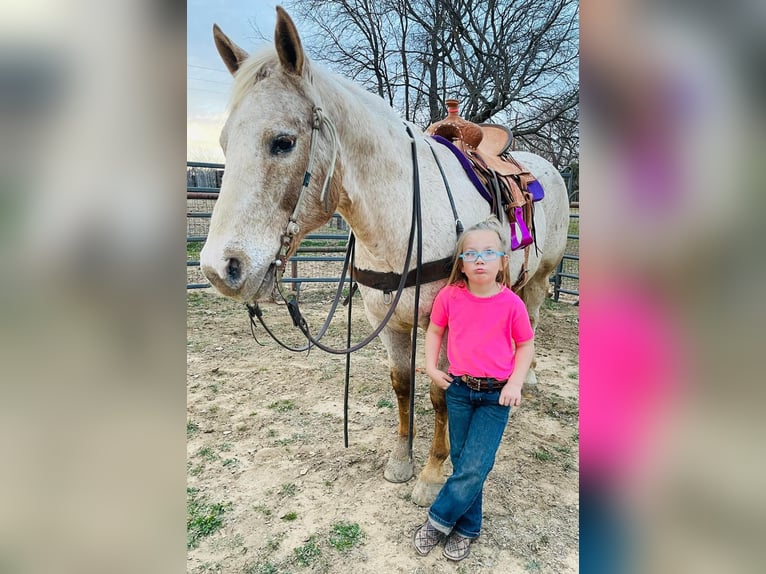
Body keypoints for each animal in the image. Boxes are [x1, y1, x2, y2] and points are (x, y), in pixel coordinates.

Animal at [200, 5, 568, 508]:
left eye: (283, 141)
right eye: (224, 143)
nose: (220, 268)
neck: (401, 215)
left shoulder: (445, 324)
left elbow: (439, 394)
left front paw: (431, 475)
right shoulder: (390, 321)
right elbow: (402, 386)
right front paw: (400, 461)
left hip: (541, 275)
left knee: (530, 314)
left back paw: (524, 382)